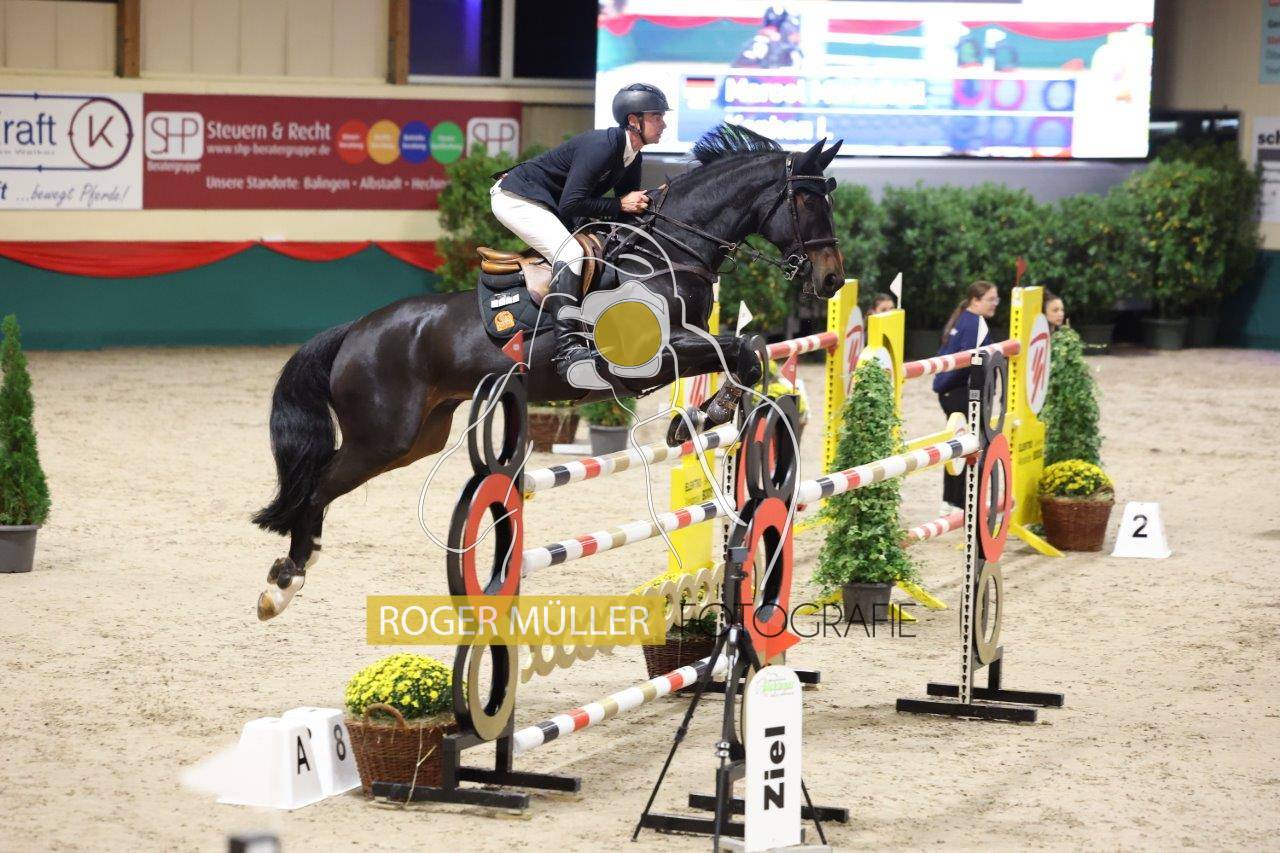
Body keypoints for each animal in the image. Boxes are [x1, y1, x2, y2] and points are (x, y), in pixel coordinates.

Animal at [252, 123, 847, 620]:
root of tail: (355, 330)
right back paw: (283, 583)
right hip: (383, 436)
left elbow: (747, 351)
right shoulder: (649, 357)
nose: (832, 279)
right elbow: (742, 348)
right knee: (316, 485)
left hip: (418, 437)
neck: (669, 253)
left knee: (325, 481)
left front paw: (701, 415)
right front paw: (704, 414)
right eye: (806, 200)